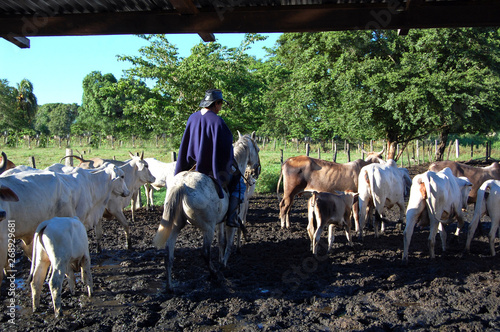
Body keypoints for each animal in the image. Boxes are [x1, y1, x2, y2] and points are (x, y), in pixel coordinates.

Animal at [153, 131, 262, 292]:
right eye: (258, 149)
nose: (256, 170)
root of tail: (182, 185)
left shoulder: (220, 221)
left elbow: (222, 241)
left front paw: (222, 260)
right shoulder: (231, 219)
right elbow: (229, 242)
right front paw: (224, 264)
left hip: (176, 225)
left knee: (169, 254)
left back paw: (170, 286)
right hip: (207, 228)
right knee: (205, 253)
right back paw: (215, 275)